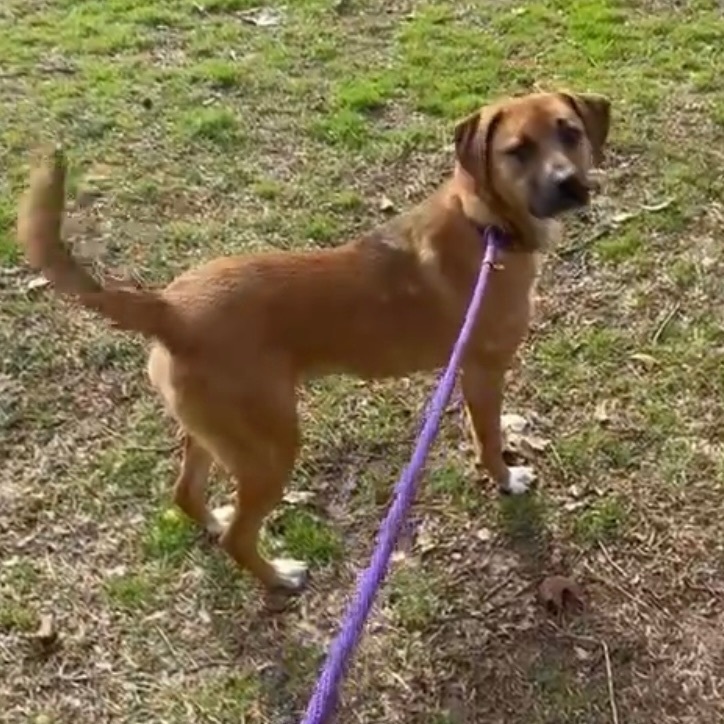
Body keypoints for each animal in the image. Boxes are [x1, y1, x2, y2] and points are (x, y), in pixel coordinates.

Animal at [17, 89, 608, 592]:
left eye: (570, 132)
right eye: (518, 151)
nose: (570, 184)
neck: (484, 223)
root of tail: (169, 308)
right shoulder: (483, 371)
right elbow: (488, 440)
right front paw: (505, 479)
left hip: (217, 437)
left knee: (186, 494)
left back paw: (214, 520)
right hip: (272, 450)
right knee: (240, 536)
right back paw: (279, 577)